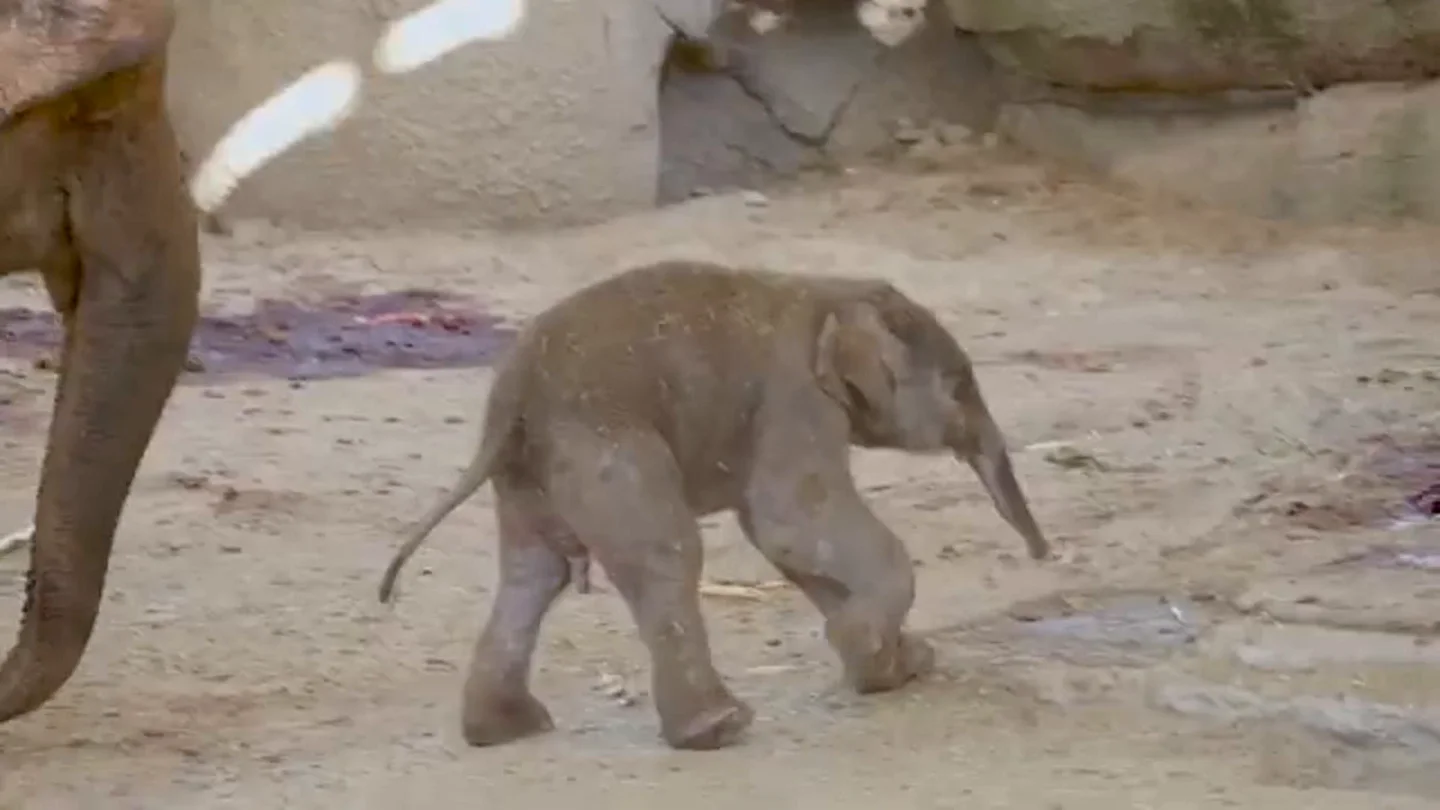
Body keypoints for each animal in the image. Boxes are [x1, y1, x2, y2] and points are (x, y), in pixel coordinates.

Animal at [378, 260, 1051, 751]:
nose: (1041, 555)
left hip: (532, 473)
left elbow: (791, 544)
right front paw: (866, 648)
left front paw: (891, 665)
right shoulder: (793, 397)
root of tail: (510, 401)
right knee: (664, 556)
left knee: (533, 574)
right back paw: (719, 729)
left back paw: (506, 730)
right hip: (606, 445)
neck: (831, 292)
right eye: (959, 385)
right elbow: (788, 522)